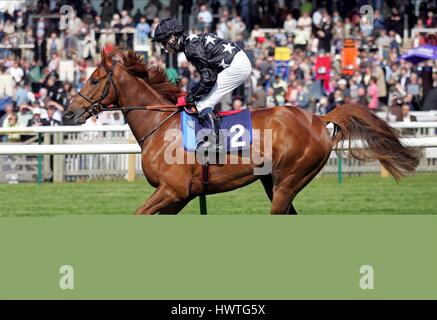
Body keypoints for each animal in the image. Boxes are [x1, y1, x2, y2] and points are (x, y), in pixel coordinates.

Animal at [62, 50, 418, 215]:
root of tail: (318, 118)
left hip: (288, 181)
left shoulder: (172, 191)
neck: (160, 127)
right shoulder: (179, 196)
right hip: (273, 182)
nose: (68, 112)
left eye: (95, 79)